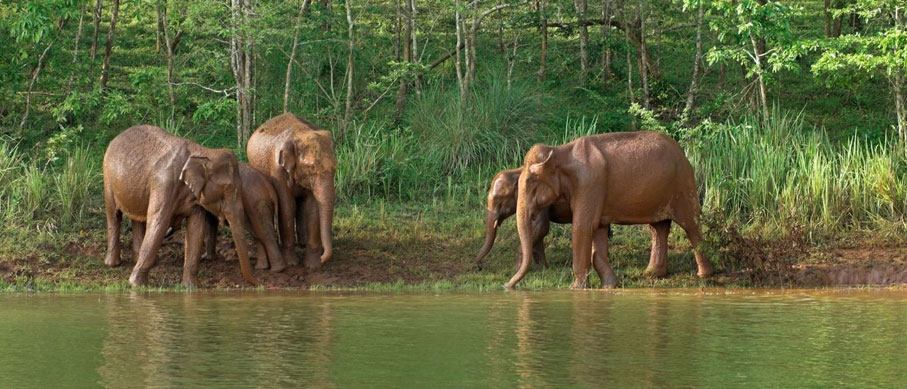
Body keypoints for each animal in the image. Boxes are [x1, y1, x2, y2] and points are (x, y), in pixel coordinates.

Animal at [103, 126, 258, 286]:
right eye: (227, 189)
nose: (259, 283)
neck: (202, 151)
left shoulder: (195, 197)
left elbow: (196, 228)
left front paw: (191, 287)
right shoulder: (164, 183)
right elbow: (159, 224)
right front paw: (136, 284)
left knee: (138, 219)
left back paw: (136, 259)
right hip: (107, 178)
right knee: (114, 215)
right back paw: (113, 264)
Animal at [247, 112, 336, 270]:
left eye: (335, 167)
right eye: (311, 167)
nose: (323, 257)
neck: (302, 132)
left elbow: (312, 208)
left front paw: (312, 265)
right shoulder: (277, 170)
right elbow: (287, 205)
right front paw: (292, 264)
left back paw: (302, 243)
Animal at [508, 132, 712, 290]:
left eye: (532, 182)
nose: (507, 286)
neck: (560, 151)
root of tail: (682, 152)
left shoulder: (590, 184)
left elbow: (582, 227)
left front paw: (576, 289)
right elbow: (598, 228)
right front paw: (610, 285)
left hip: (683, 185)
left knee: (690, 224)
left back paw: (704, 275)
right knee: (658, 227)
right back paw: (652, 274)